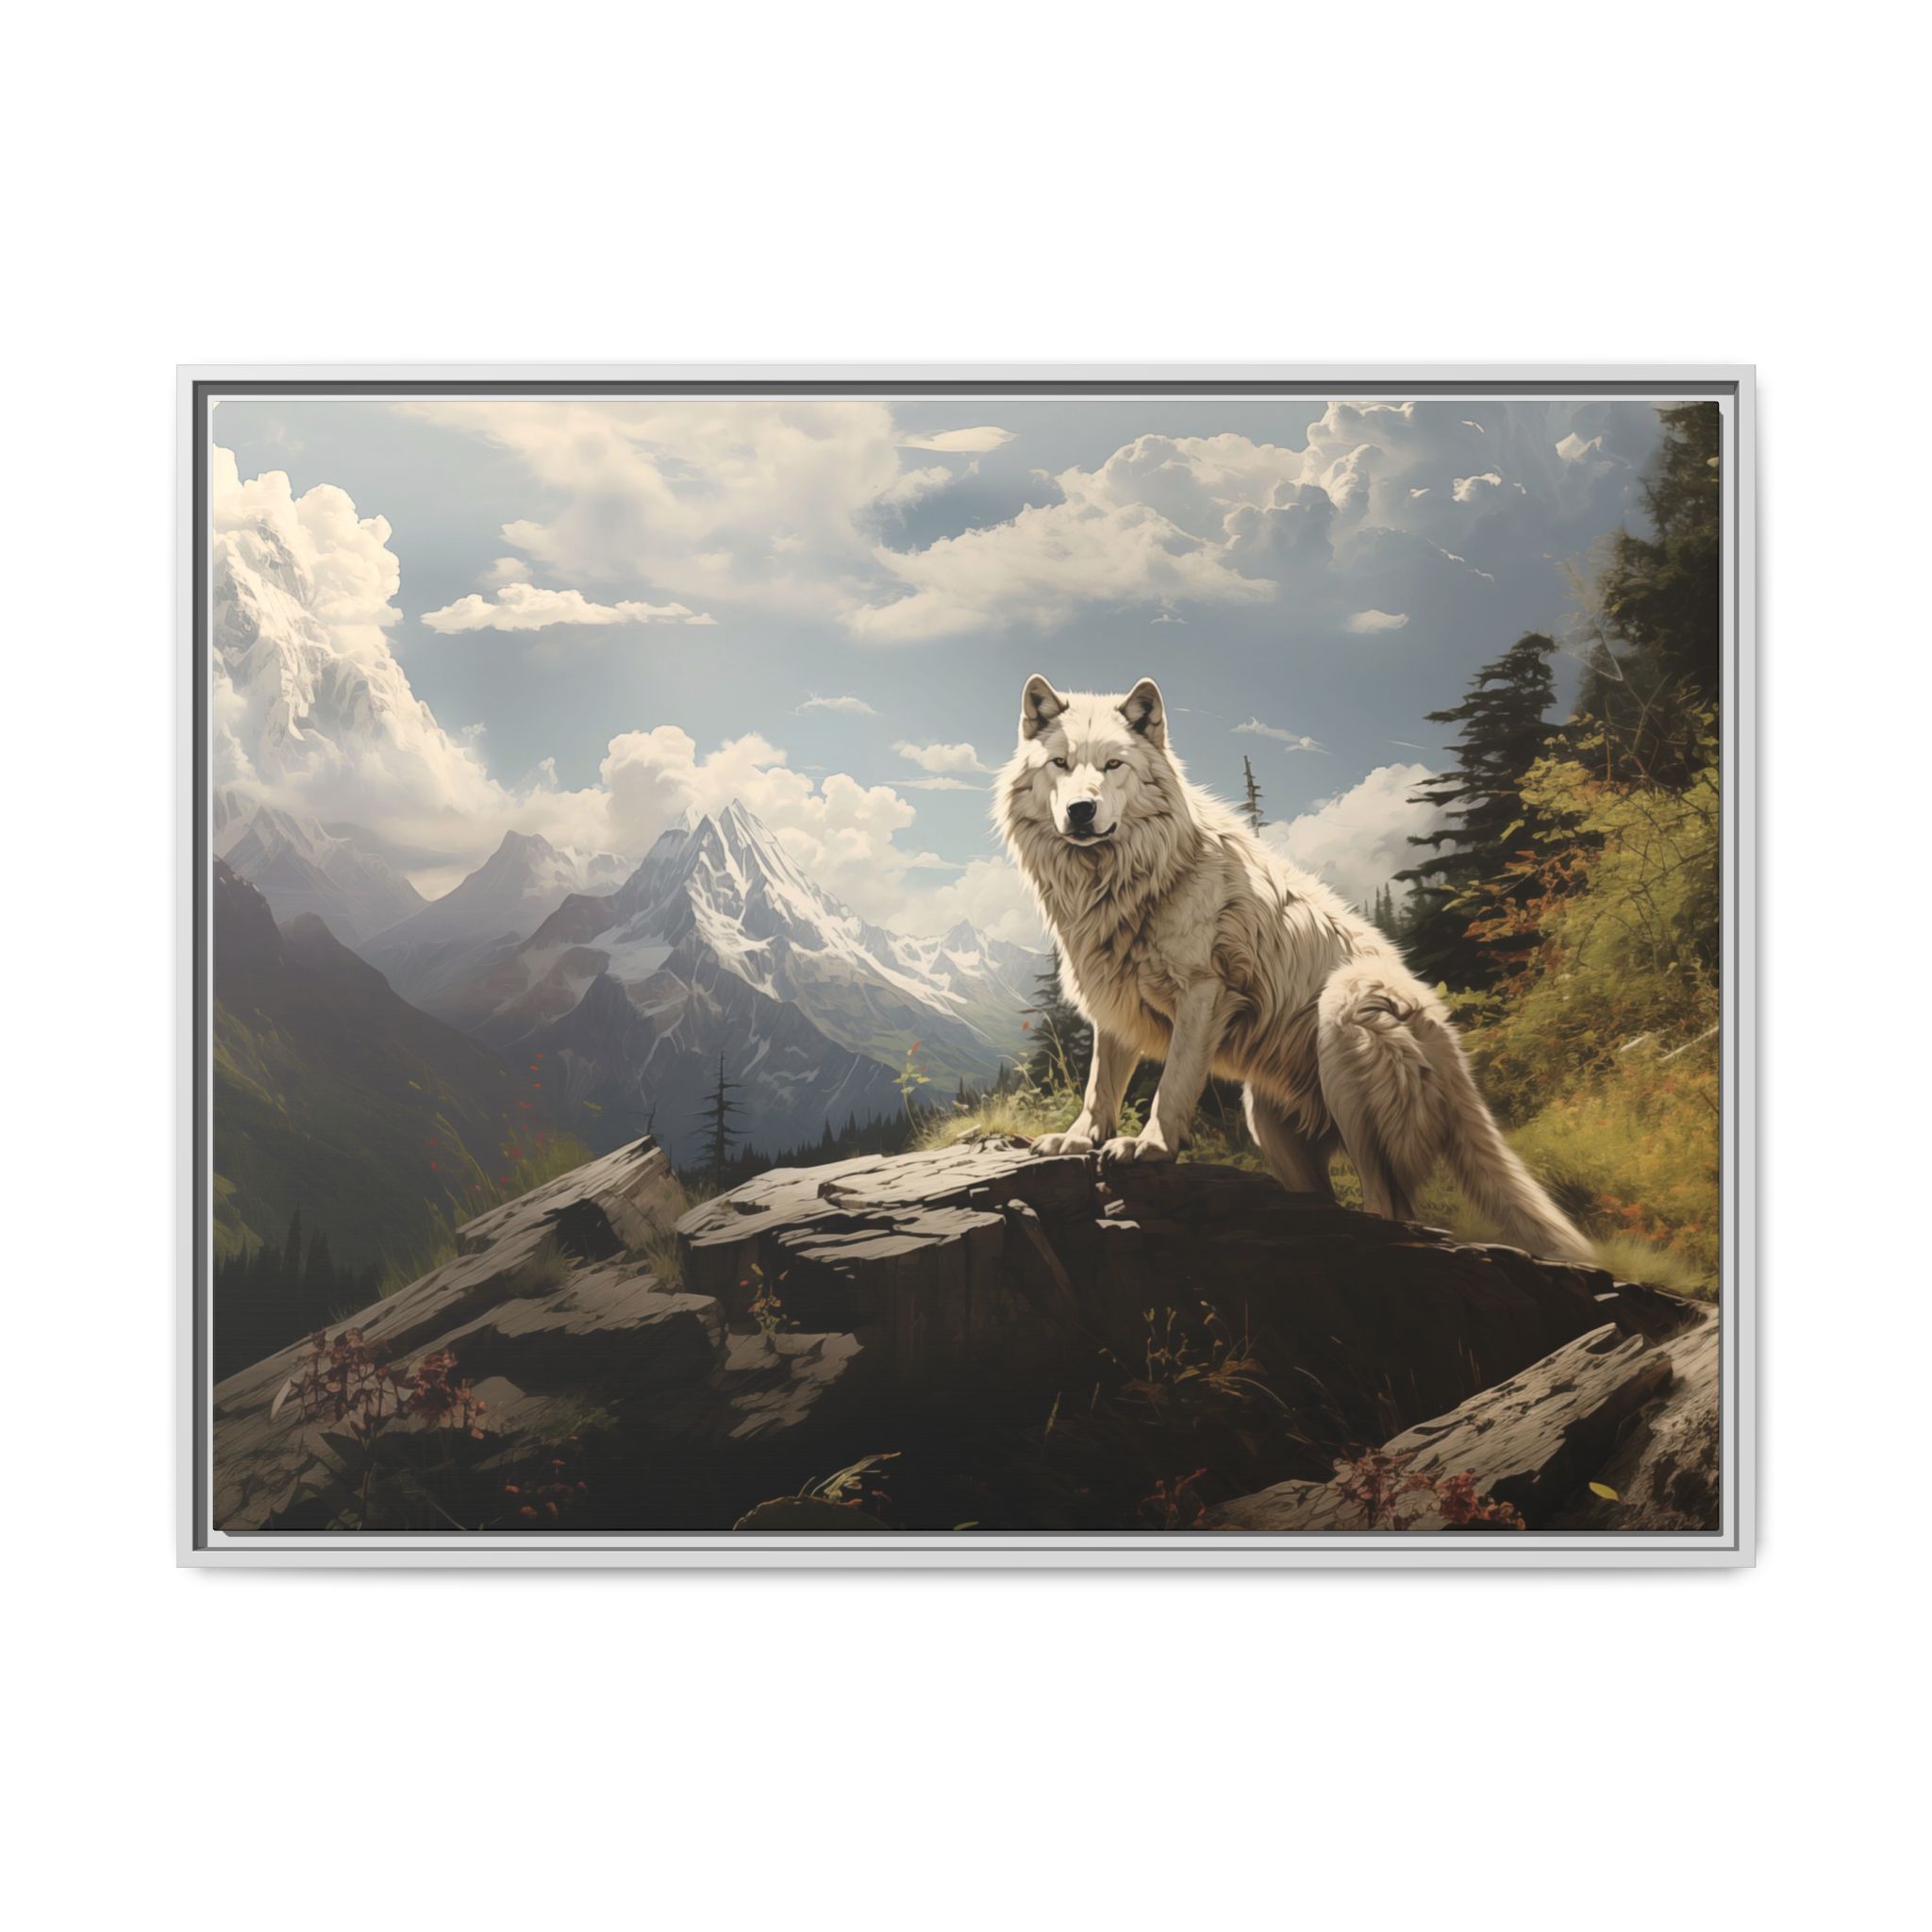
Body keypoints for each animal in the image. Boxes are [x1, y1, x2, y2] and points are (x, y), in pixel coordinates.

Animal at [996, 673, 1593, 1263]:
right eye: (1061, 764)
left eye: (1113, 765)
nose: (1081, 810)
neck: (1126, 878)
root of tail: (1450, 1045)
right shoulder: (1115, 1001)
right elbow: (1100, 1086)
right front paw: (1076, 1140)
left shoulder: (1204, 991)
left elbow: (1173, 1084)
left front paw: (1150, 1147)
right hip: (1269, 1124)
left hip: (1347, 1030)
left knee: (1391, 1205)